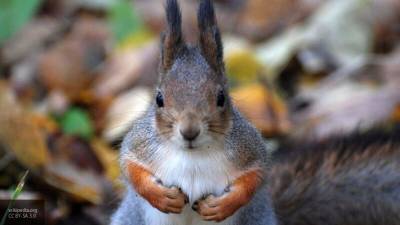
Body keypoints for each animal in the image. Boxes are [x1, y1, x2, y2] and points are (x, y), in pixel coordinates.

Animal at [110, 0, 278, 225]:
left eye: (221, 97)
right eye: (159, 99)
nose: (189, 132)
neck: (192, 155)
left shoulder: (248, 148)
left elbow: (255, 177)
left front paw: (221, 206)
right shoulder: (140, 144)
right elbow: (129, 167)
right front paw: (162, 197)